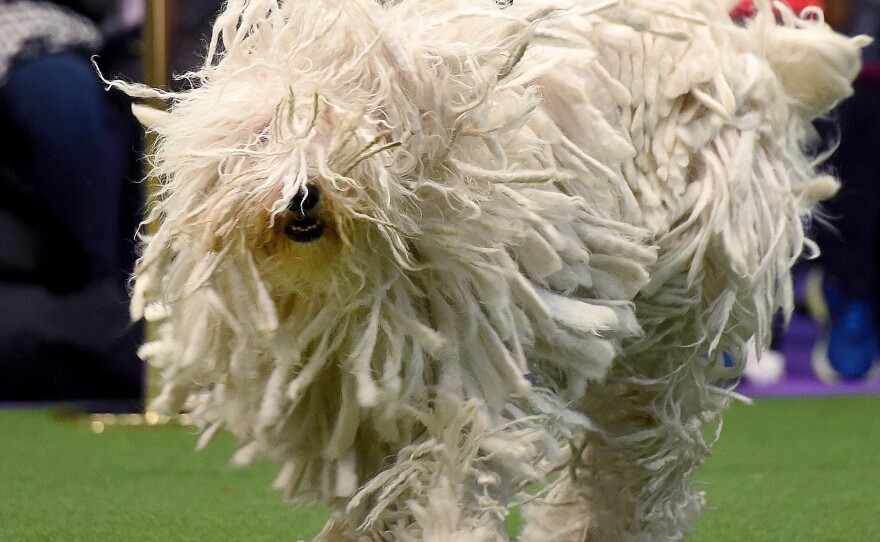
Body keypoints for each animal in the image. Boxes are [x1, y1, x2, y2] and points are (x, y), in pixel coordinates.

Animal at [115, 2, 868, 540]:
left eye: (362, 129)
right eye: (268, 132)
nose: (304, 196)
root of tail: (750, 56)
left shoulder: (468, 358)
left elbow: (454, 464)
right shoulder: (350, 402)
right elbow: (371, 490)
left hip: (681, 310)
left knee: (639, 450)